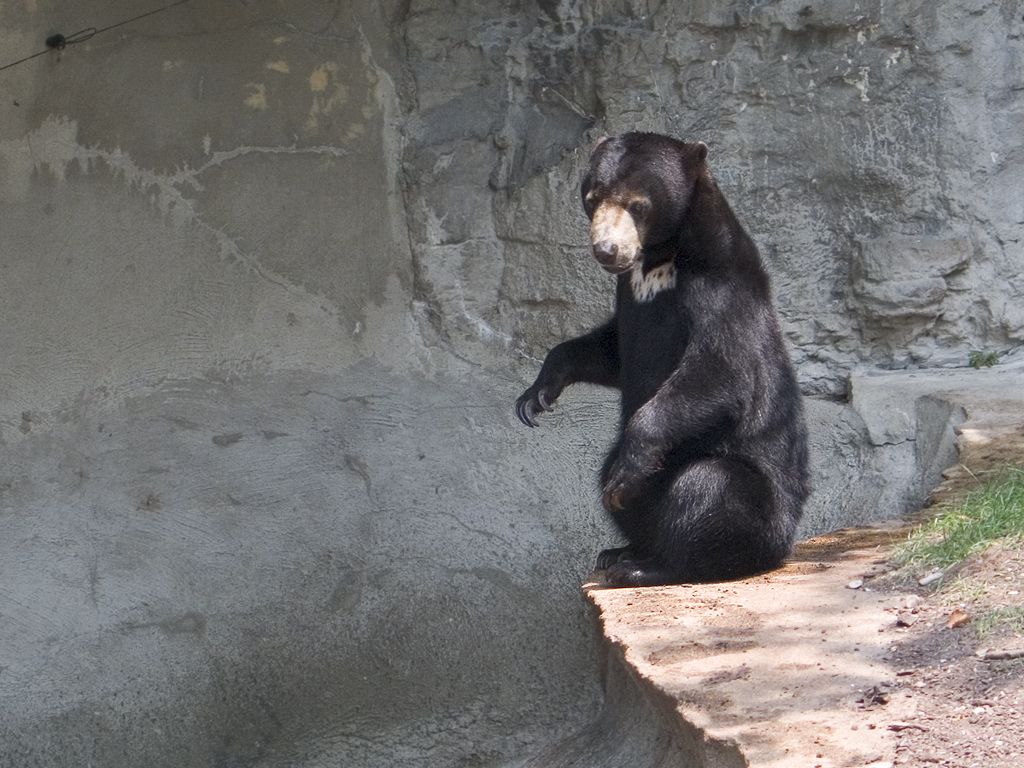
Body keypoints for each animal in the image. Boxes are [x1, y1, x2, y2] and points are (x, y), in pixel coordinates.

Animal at [515, 132, 810, 587]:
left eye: (638, 204)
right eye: (592, 198)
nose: (607, 250)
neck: (659, 260)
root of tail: (788, 541)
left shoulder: (721, 292)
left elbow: (720, 374)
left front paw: (629, 466)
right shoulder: (629, 298)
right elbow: (611, 351)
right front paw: (536, 395)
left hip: (764, 504)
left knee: (709, 487)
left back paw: (645, 564)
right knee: (615, 481)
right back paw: (623, 549)